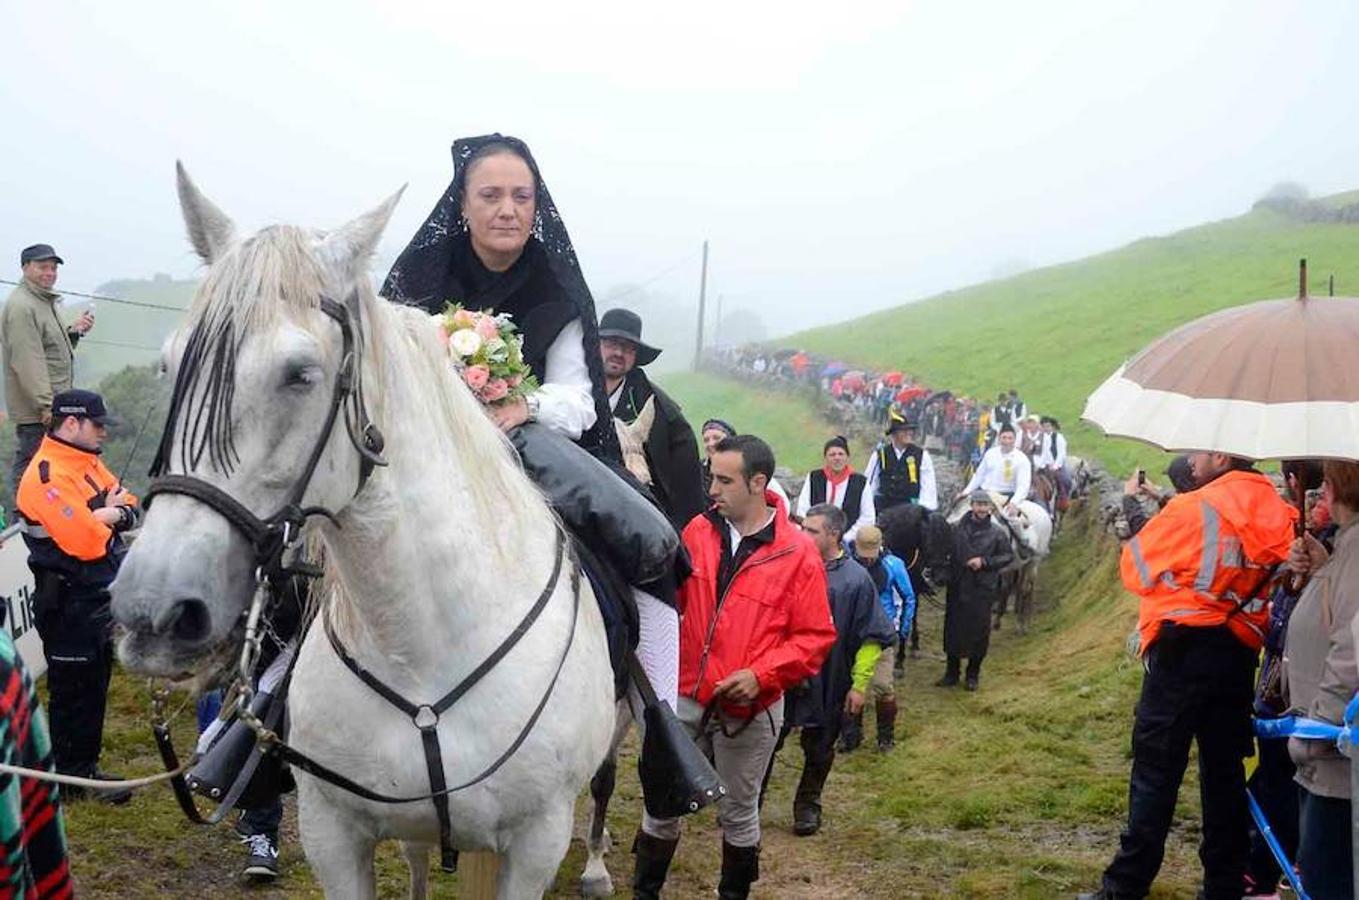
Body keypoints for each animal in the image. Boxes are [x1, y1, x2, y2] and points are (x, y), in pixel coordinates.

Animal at [111, 165, 611, 897]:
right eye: (171, 366)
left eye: (301, 375)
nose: (152, 612)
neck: (423, 649)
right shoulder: (334, 833)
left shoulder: (535, 843)